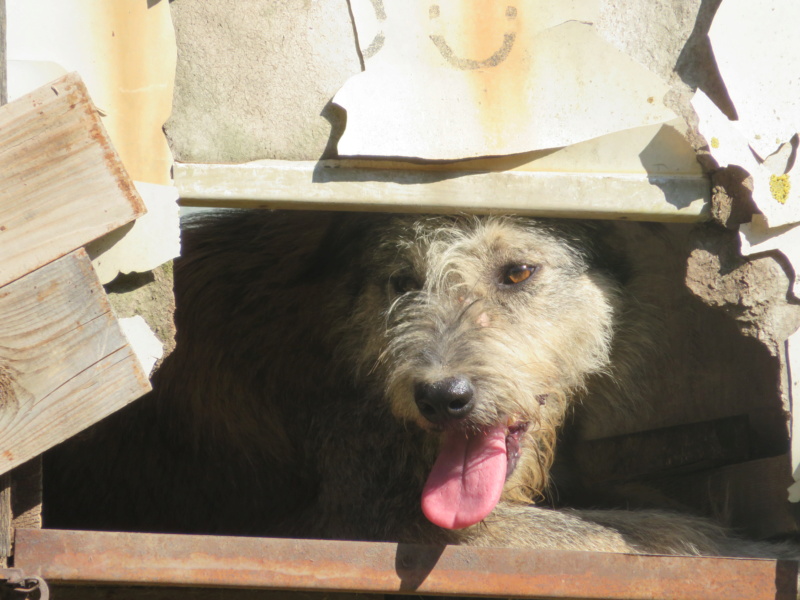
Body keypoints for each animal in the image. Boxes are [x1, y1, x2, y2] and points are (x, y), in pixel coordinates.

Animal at [42, 210, 800, 556]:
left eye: (517, 272)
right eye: (401, 279)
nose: (442, 397)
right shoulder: (362, 519)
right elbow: (624, 532)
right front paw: (735, 544)